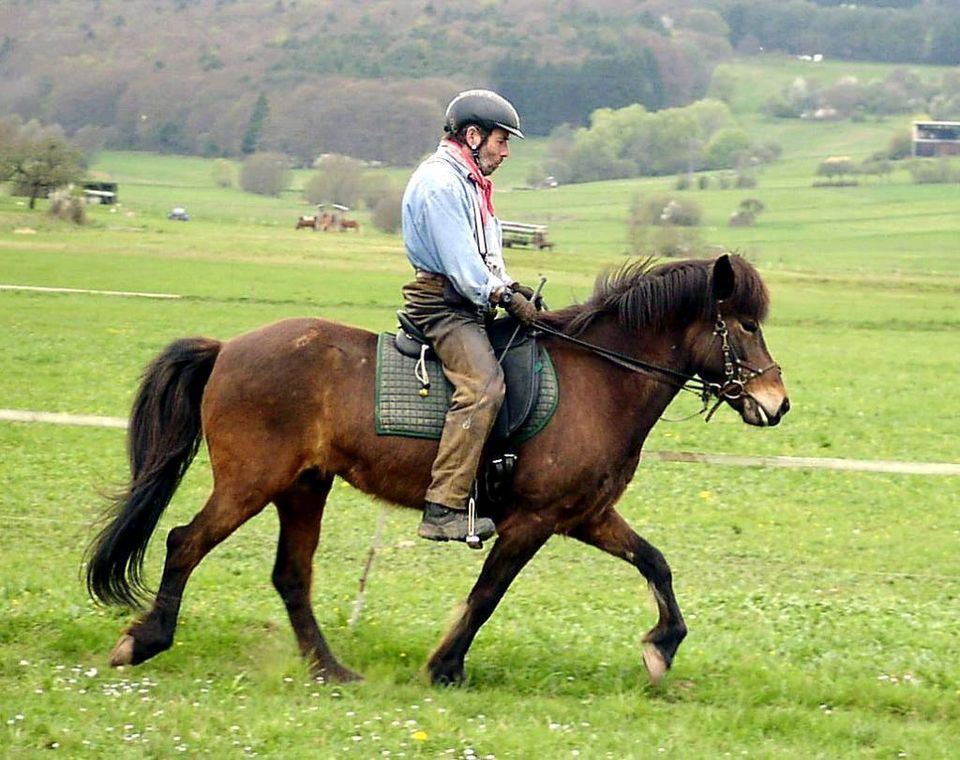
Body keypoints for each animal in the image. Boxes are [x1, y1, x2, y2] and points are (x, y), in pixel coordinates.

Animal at [84, 255, 788, 688]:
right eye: (743, 325)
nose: (777, 403)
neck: (601, 379)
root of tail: (228, 348)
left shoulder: (585, 516)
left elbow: (656, 563)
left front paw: (661, 647)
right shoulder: (532, 521)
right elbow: (486, 595)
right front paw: (444, 667)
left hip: (303, 487)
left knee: (290, 576)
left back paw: (331, 671)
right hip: (250, 482)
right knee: (185, 542)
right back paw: (144, 641)